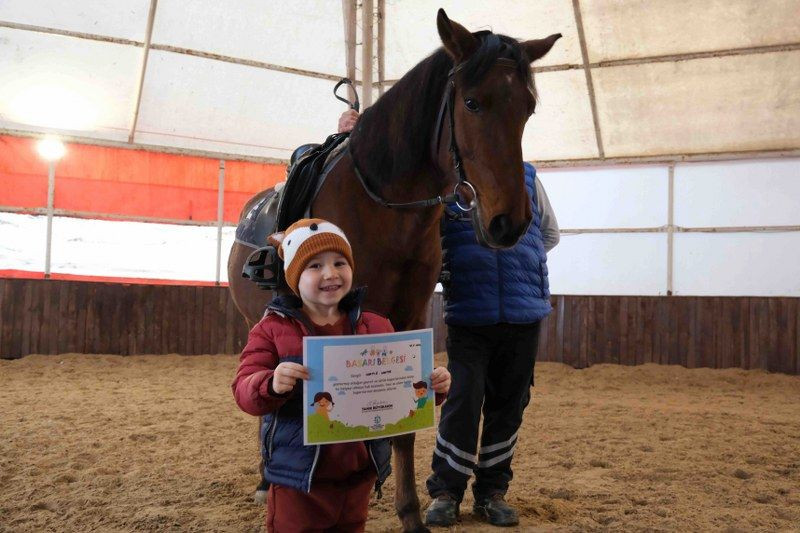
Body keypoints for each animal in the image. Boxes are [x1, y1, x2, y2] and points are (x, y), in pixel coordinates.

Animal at [228, 9, 560, 532]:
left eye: (527, 108)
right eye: (472, 102)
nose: (510, 222)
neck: (384, 201)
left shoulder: (410, 315)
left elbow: (408, 427)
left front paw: (409, 513)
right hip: (253, 320)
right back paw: (266, 482)